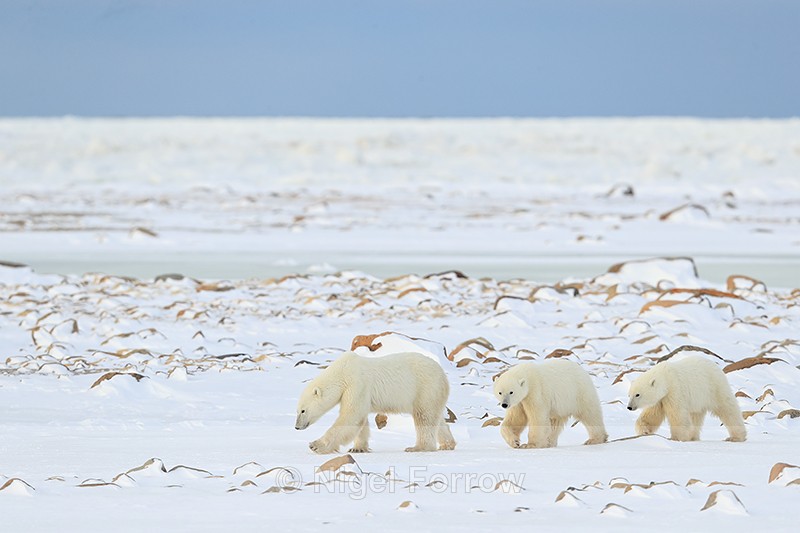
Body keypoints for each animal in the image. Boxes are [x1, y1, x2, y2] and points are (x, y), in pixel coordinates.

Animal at [295, 351, 456, 453]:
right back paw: (447, 444)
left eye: (303, 410)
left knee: (424, 417)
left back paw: (418, 447)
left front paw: (315, 445)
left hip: (425, 388)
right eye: (297, 410)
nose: (297, 427)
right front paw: (358, 448)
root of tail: (443, 375)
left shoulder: (357, 384)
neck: (343, 372)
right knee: (436, 418)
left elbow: (350, 417)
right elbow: (360, 419)